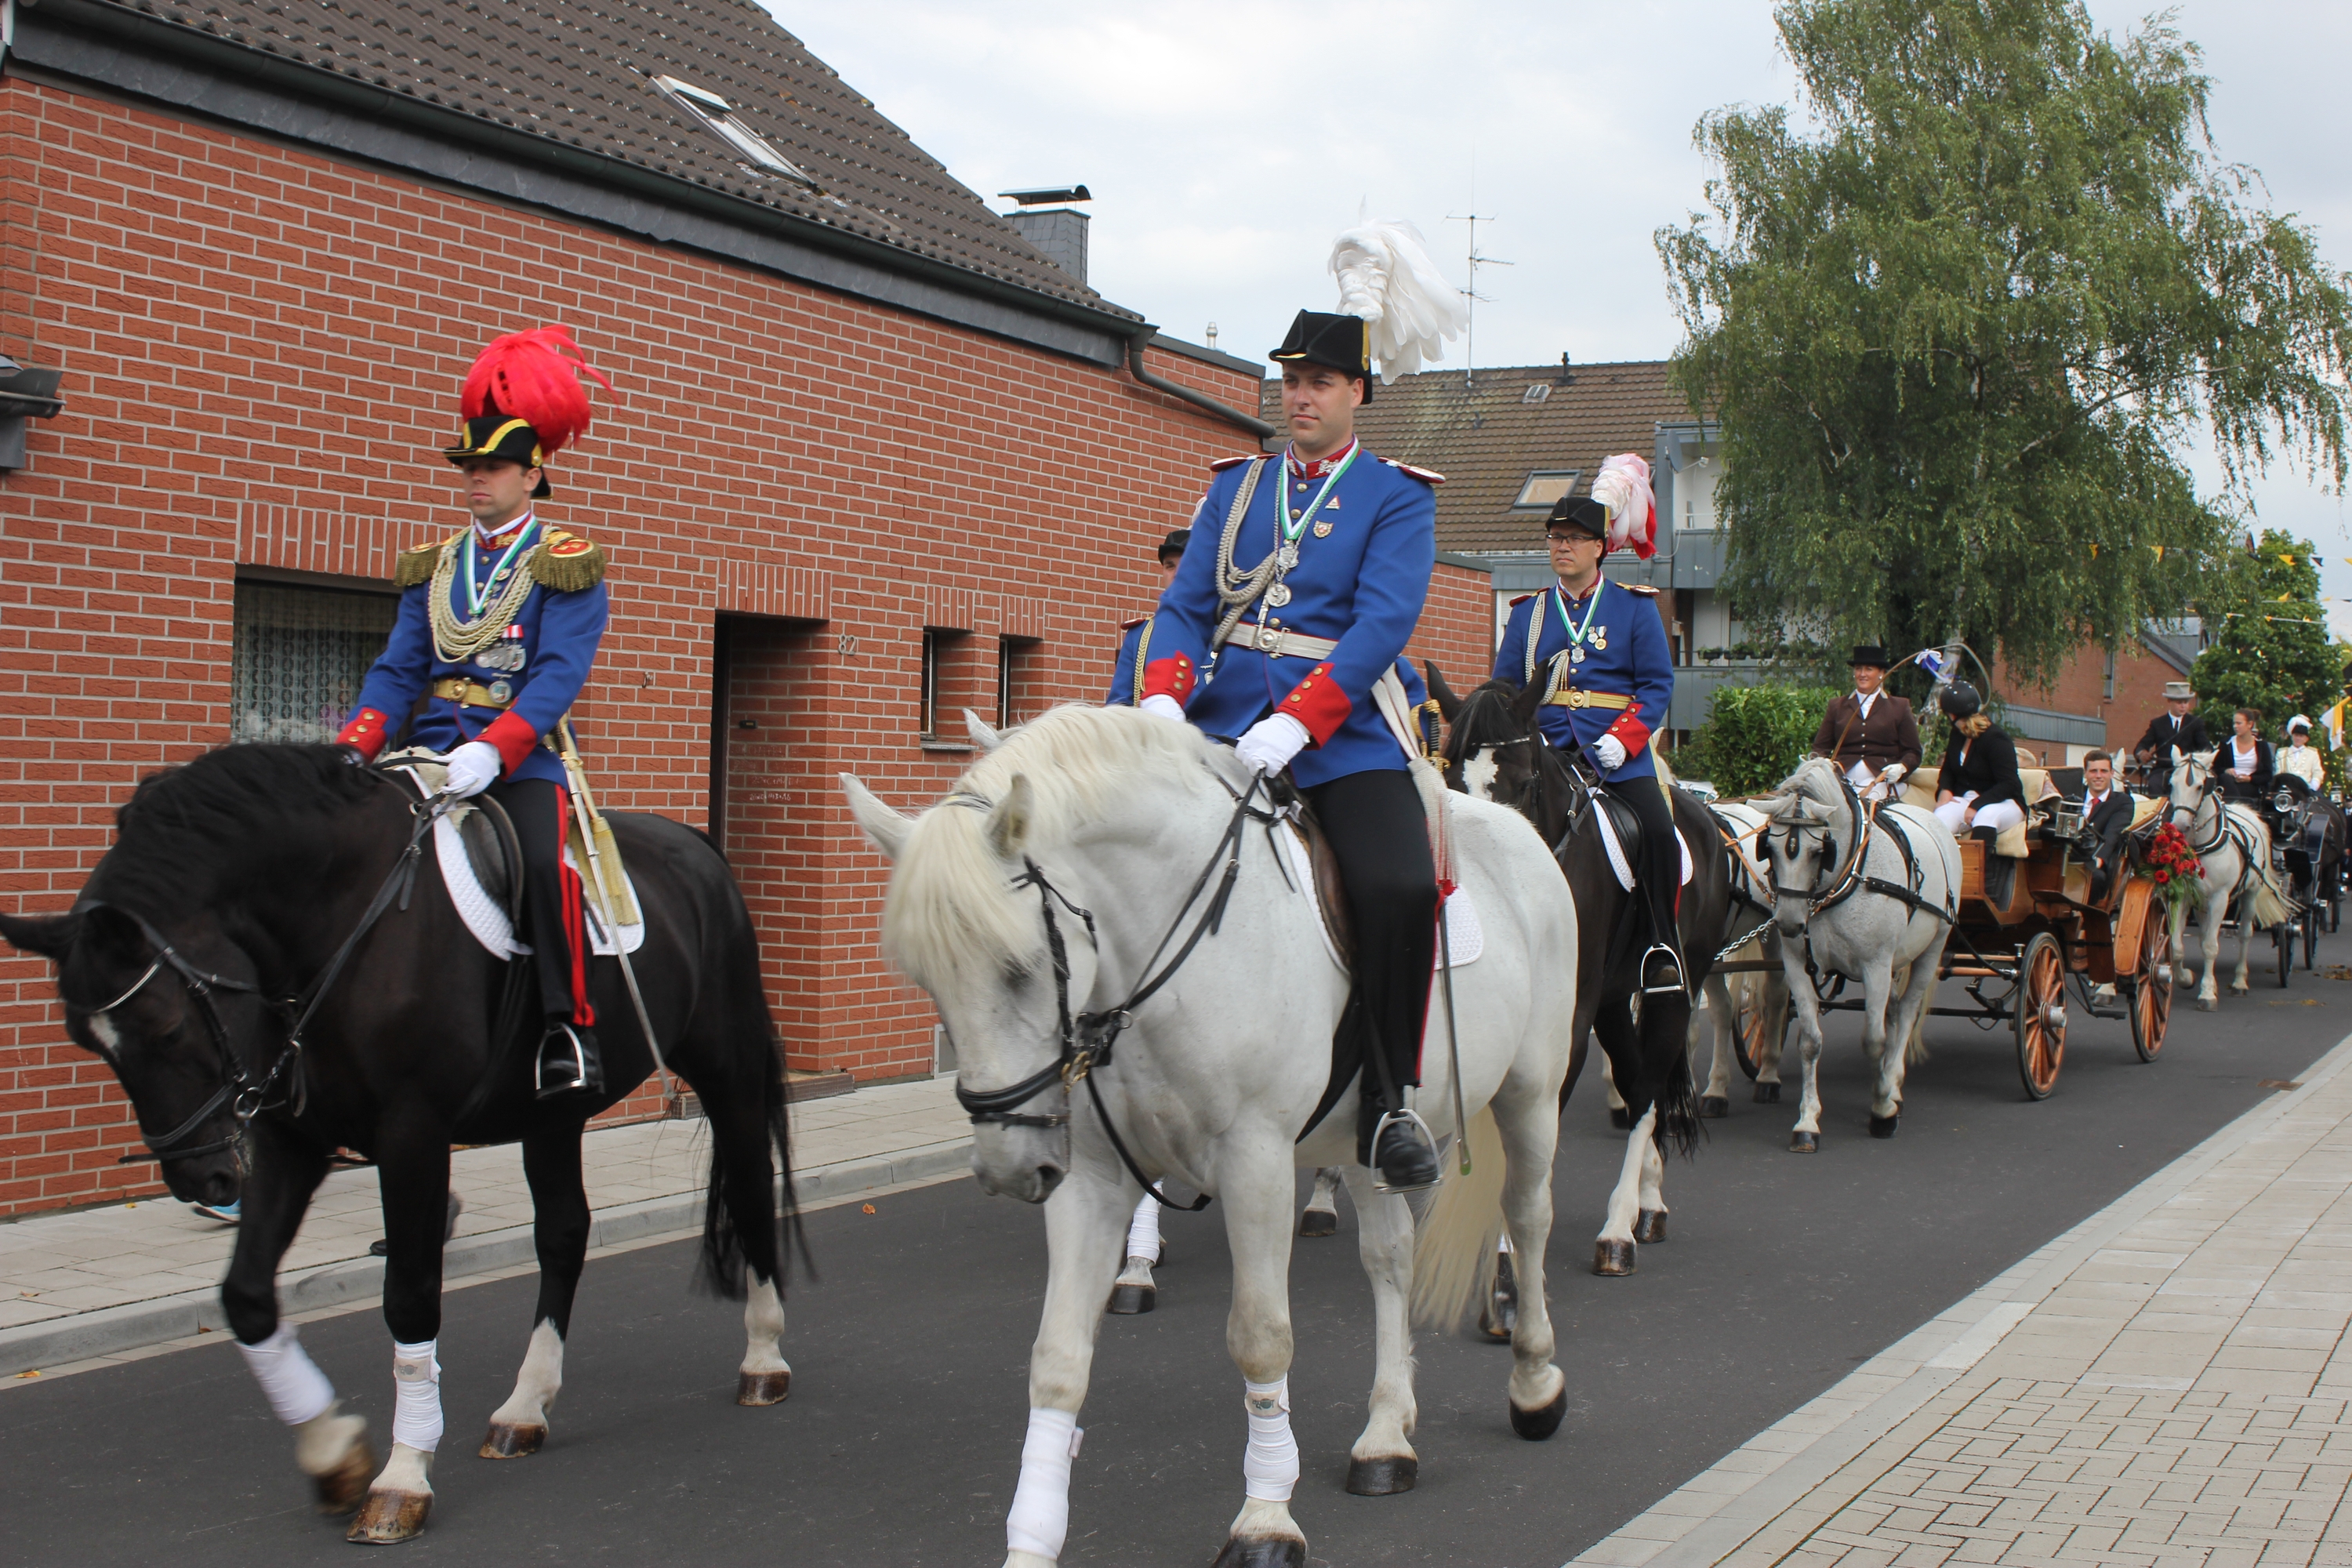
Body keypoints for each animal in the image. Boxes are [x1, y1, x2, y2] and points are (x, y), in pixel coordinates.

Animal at [0, 743, 798, 1544]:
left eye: (166, 1028)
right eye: (86, 1041)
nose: (203, 1179)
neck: (336, 916)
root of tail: (693, 843)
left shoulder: (412, 1131)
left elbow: (411, 1298)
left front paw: (400, 1479)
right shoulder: (291, 1137)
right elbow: (247, 1296)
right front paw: (334, 1457)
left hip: (725, 1068)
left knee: (748, 1187)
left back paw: (764, 1359)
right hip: (551, 1116)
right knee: (564, 1234)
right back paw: (525, 1407)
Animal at [841, 702, 1579, 1568]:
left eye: (1019, 967)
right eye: (926, 979)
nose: (1008, 1169)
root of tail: (1518, 831)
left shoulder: (1256, 1161)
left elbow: (1260, 1337)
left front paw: (1265, 1519)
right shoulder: (1092, 1177)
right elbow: (1057, 1357)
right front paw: (1031, 1541)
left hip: (1531, 1093)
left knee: (1528, 1216)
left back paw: (1535, 1381)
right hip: (1367, 1135)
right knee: (1391, 1255)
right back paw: (1387, 1435)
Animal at [1426, 665, 1734, 1274]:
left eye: (1522, 782)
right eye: (1450, 778)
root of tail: (1705, 814)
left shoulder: (1567, 1015)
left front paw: (1510, 1248)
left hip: (1674, 987)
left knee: (1648, 1090)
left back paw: (1618, 1230)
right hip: (1614, 999)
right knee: (1638, 1080)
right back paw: (1648, 1203)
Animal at [1751, 759, 1960, 1152]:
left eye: (1819, 851)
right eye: (1767, 847)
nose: (1788, 923)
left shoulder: (1876, 966)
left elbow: (1874, 1041)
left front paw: (1882, 1111)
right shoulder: (1797, 965)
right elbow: (1810, 1042)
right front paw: (1807, 1122)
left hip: (1933, 946)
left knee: (1906, 1013)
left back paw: (1893, 1086)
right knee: (1894, 1010)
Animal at [2164, 747, 2295, 1006]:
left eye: (2201, 786)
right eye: (2172, 783)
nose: (2180, 826)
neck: (2200, 846)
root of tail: (2247, 811)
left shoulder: (2220, 897)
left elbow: (2211, 946)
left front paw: (2206, 994)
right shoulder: (2185, 895)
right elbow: (2178, 945)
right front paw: (2186, 979)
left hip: (2250, 894)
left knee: (2244, 935)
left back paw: (2239, 982)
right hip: (2202, 902)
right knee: (2205, 933)